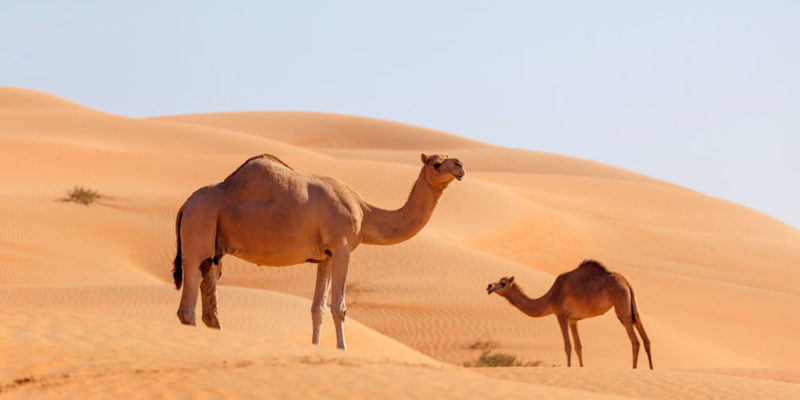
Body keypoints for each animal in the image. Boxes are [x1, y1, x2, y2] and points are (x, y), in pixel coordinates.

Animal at [172, 153, 466, 350]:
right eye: (437, 163)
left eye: (448, 158)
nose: (460, 166)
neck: (365, 213)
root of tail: (184, 206)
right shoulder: (342, 246)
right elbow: (339, 307)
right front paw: (343, 350)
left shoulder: (325, 256)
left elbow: (317, 309)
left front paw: (316, 348)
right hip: (199, 229)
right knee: (187, 308)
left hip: (214, 252)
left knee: (210, 308)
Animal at [488, 260, 648, 368]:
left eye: (503, 283)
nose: (489, 286)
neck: (549, 298)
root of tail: (626, 282)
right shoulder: (573, 320)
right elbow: (578, 347)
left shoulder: (560, 314)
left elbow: (568, 346)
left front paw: (569, 367)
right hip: (632, 306)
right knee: (645, 337)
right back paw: (650, 368)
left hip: (621, 304)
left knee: (635, 341)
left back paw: (634, 369)